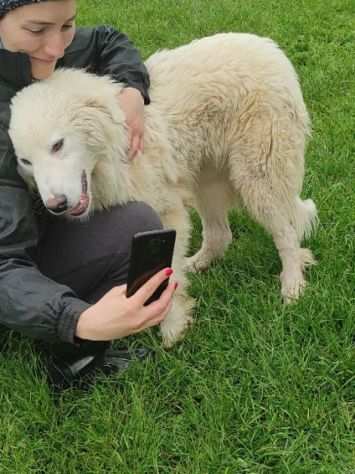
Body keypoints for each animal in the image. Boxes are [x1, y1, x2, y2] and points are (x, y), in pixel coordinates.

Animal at [9, 32, 318, 344]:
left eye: (57, 145)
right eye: (25, 162)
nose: (56, 205)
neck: (113, 148)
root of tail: (269, 49)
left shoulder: (167, 215)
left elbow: (167, 274)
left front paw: (172, 327)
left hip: (258, 177)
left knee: (286, 235)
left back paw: (292, 286)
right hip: (206, 181)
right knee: (220, 235)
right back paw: (199, 263)